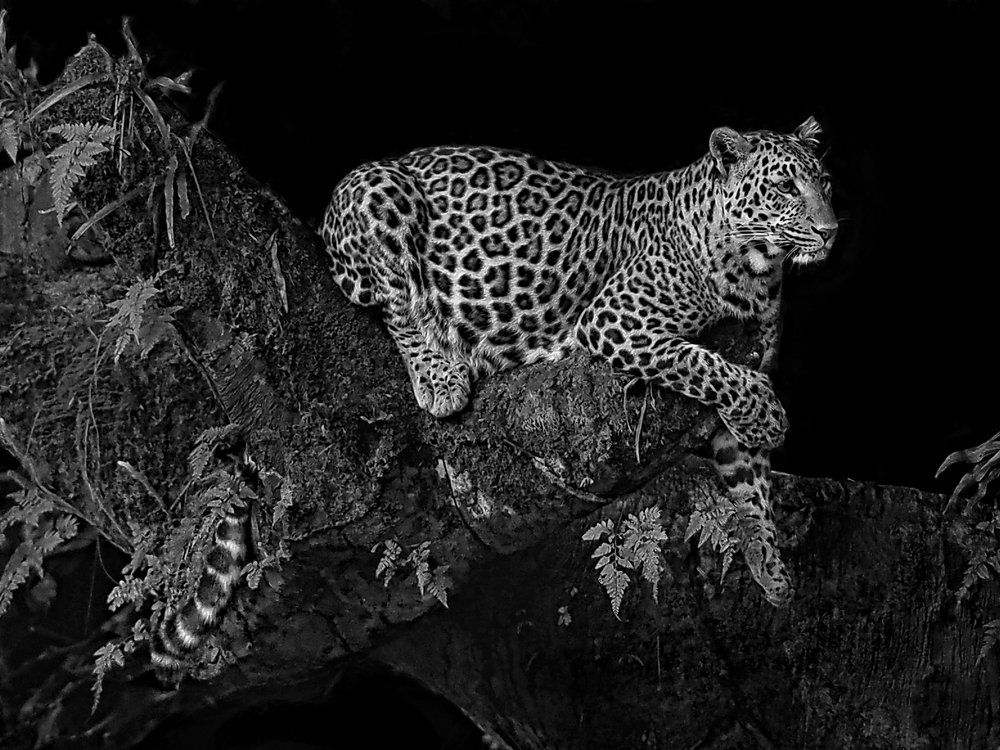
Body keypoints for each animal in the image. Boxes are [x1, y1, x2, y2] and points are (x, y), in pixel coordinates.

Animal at [319, 116, 837, 607]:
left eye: (825, 182)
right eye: (785, 186)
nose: (829, 231)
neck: (757, 270)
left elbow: (750, 483)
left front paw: (769, 567)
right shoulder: (614, 319)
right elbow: (700, 365)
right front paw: (768, 416)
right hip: (380, 194)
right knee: (399, 305)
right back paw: (441, 374)